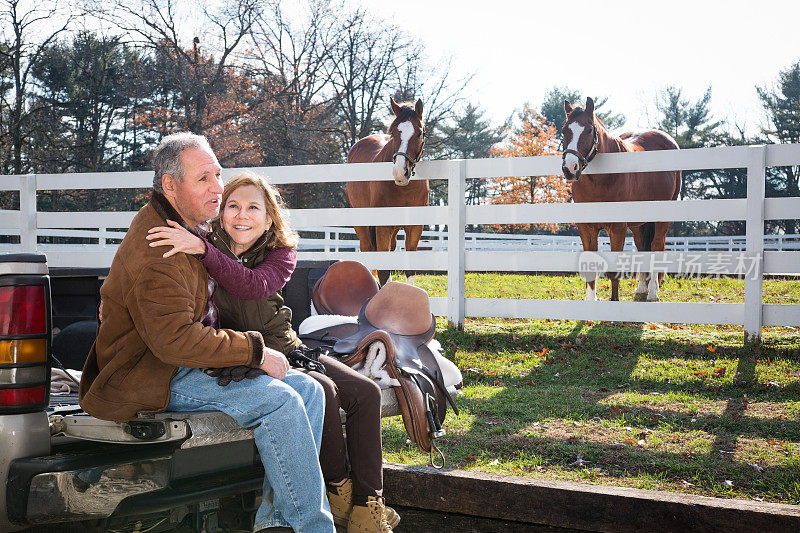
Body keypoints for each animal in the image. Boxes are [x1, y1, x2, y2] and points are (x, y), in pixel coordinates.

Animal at [346, 97, 428, 284]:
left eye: (419, 133)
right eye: (394, 133)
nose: (400, 173)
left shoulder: (415, 228)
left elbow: (409, 269)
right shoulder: (382, 227)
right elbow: (384, 271)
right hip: (362, 223)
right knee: (367, 249)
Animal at [564, 97, 680, 302]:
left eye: (589, 130)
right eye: (564, 130)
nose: (570, 168)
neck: (601, 180)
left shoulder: (617, 228)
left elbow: (614, 270)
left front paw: (615, 301)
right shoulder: (586, 228)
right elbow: (590, 265)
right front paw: (590, 300)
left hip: (662, 217)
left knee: (657, 245)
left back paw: (653, 292)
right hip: (639, 224)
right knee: (642, 247)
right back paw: (641, 289)